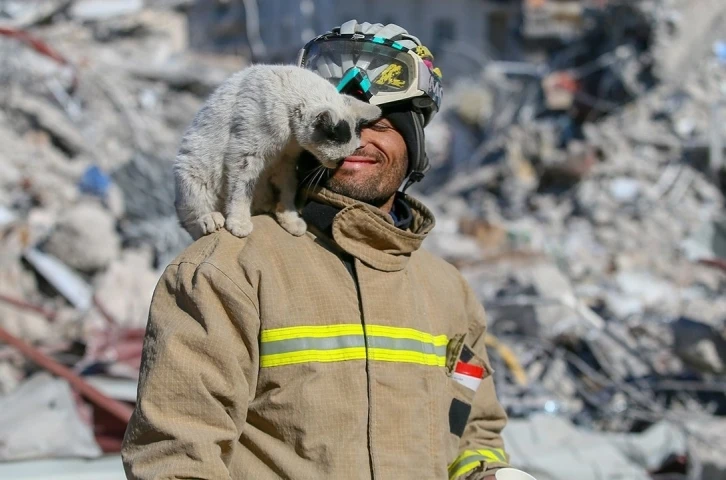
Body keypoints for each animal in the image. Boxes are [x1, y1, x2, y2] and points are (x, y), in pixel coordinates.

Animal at [174, 64, 384, 239]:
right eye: (339, 158)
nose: (338, 164)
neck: (289, 136)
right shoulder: (245, 155)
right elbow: (241, 191)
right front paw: (239, 223)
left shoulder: (286, 163)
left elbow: (288, 191)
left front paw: (290, 219)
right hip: (191, 171)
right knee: (192, 220)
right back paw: (210, 219)